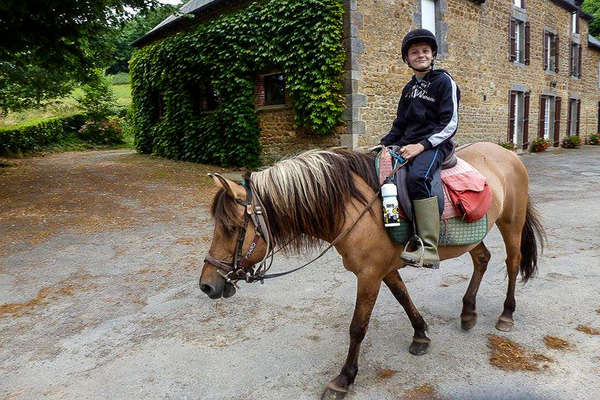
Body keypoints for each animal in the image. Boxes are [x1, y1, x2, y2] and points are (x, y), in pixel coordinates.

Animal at [200, 142, 544, 398]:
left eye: (231, 228)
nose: (207, 285)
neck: (352, 208)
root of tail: (507, 154)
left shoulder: (368, 275)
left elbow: (357, 327)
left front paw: (343, 379)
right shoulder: (384, 270)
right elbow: (404, 299)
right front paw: (421, 336)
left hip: (511, 223)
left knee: (512, 263)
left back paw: (506, 314)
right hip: (474, 234)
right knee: (482, 259)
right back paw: (468, 312)